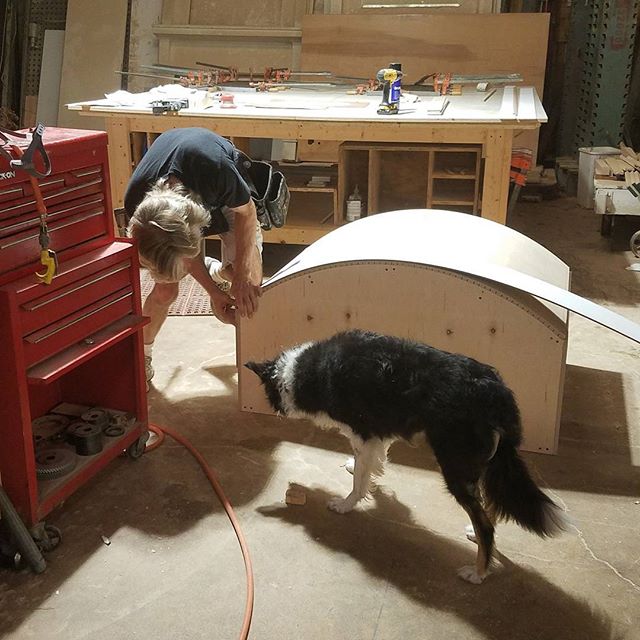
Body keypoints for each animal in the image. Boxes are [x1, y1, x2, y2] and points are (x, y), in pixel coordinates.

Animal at [246, 330, 568, 584]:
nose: (278, 411)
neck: (301, 372)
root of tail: (496, 392)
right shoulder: (379, 431)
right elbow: (370, 465)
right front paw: (364, 477)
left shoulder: (363, 431)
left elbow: (359, 478)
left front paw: (346, 504)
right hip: (488, 462)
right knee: (490, 506)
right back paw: (476, 538)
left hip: (456, 466)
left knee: (484, 521)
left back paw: (477, 572)